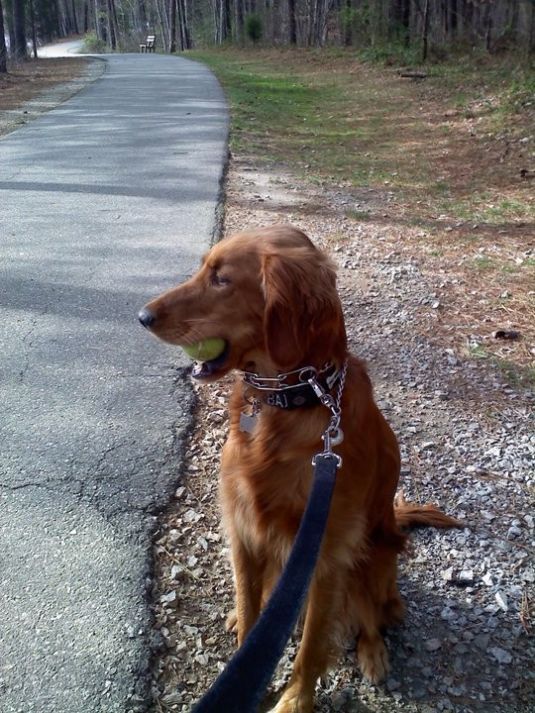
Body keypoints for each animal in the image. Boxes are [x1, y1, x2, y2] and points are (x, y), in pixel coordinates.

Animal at [140, 227, 462, 712]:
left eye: (222, 279)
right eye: (203, 270)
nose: (142, 316)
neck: (291, 401)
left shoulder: (325, 550)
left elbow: (311, 645)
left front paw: (295, 702)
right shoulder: (243, 528)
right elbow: (252, 612)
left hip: (371, 558)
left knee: (376, 617)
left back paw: (374, 654)